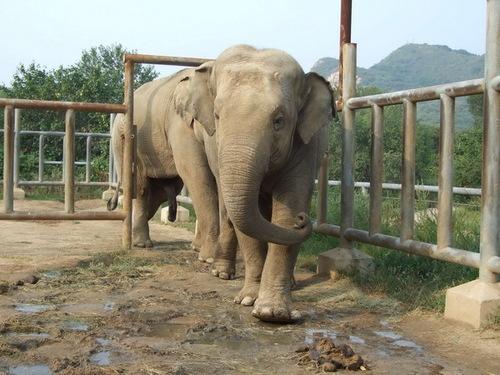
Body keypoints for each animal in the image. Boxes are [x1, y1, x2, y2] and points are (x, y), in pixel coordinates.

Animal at [110, 45, 336, 324]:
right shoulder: (188, 130)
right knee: (144, 188)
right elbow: (200, 180)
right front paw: (247, 297)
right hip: (129, 143)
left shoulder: (307, 142)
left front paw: (272, 312)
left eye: (279, 120)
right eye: (217, 116)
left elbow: (288, 206)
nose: (304, 220)